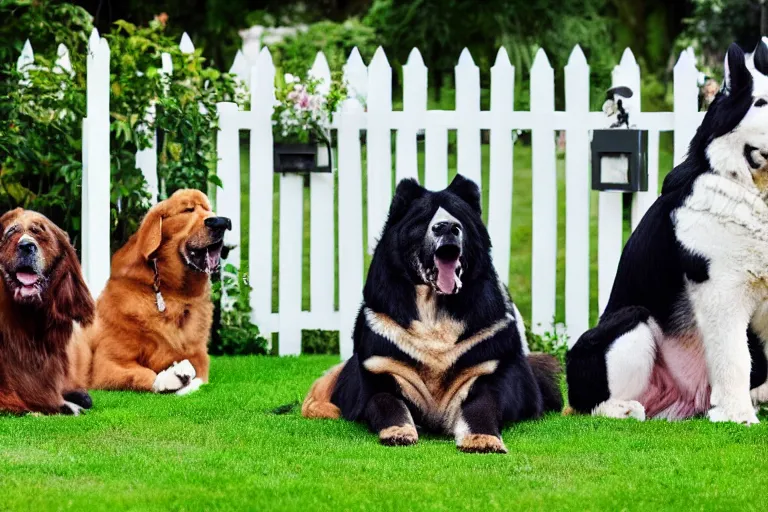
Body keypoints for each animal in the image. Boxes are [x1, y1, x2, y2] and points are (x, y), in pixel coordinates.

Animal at [304, 175, 560, 452]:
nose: (447, 227)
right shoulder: (379, 367)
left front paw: (483, 440)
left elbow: (483, 405)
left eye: (459, 217)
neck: (434, 311)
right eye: (422, 218)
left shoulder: (491, 367)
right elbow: (386, 401)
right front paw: (398, 432)